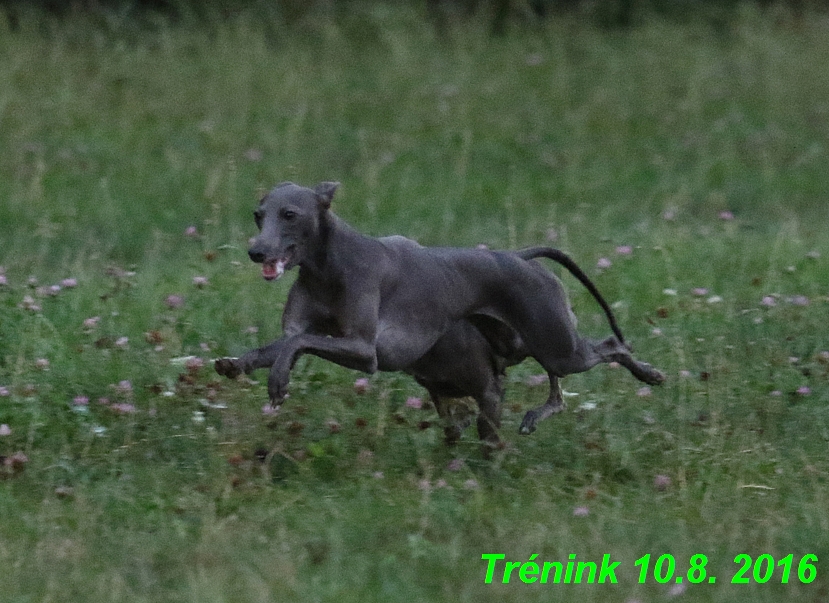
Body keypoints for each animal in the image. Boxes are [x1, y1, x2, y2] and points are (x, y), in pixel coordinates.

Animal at [215, 182, 668, 446]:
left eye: (289, 214)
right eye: (258, 215)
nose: (256, 251)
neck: (327, 267)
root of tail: (520, 258)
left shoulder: (365, 351)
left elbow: (299, 342)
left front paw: (278, 380)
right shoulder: (307, 327)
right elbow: (286, 341)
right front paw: (239, 364)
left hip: (556, 343)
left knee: (609, 346)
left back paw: (649, 373)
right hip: (524, 341)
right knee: (557, 389)